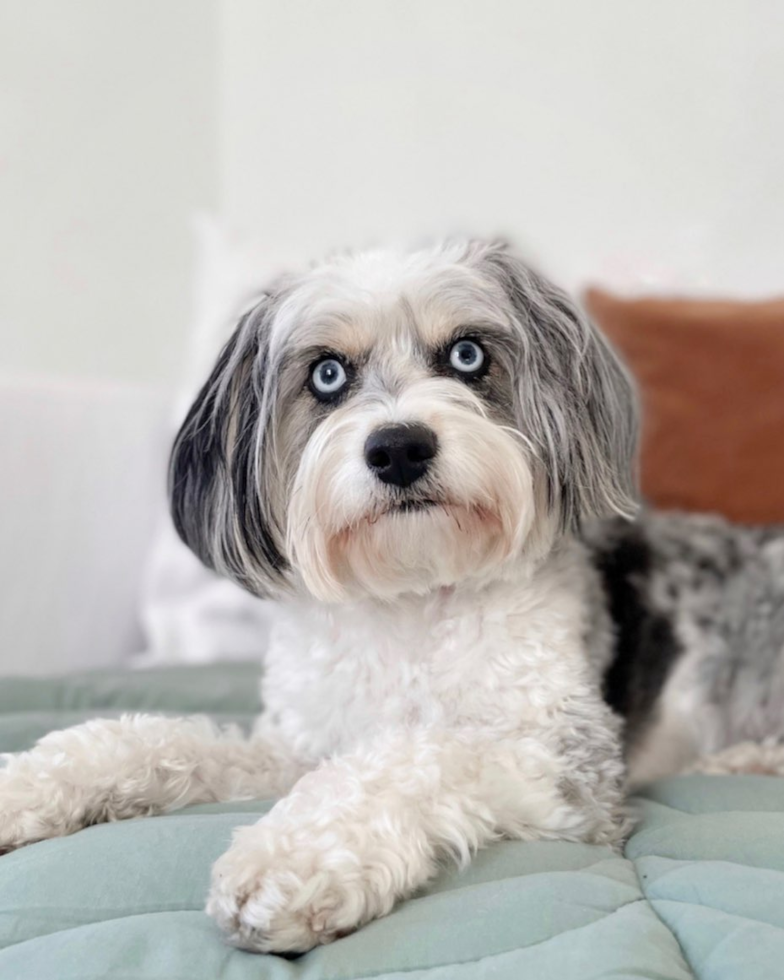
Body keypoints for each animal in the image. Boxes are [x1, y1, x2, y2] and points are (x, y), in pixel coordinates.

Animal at [1, 235, 784, 948]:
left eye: (467, 356)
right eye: (326, 374)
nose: (399, 447)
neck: (414, 597)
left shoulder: (565, 758)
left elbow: (413, 759)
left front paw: (287, 863)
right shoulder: (304, 743)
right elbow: (162, 742)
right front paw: (28, 787)